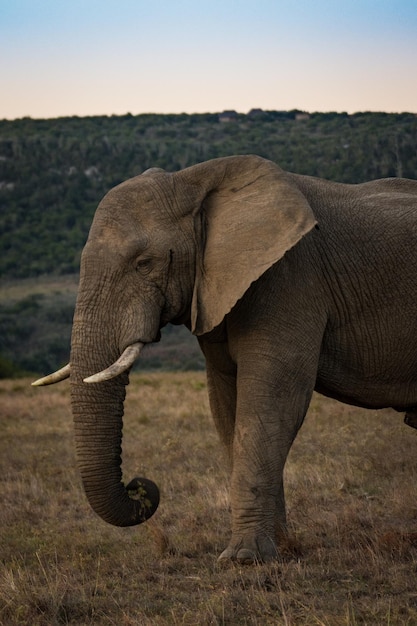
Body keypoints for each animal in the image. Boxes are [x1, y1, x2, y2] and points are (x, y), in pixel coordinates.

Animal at [33, 155, 417, 560]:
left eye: (144, 263)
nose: (140, 485)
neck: (193, 182)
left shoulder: (291, 277)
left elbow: (272, 402)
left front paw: (244, 559)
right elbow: (227, 404)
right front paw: (276, 549)